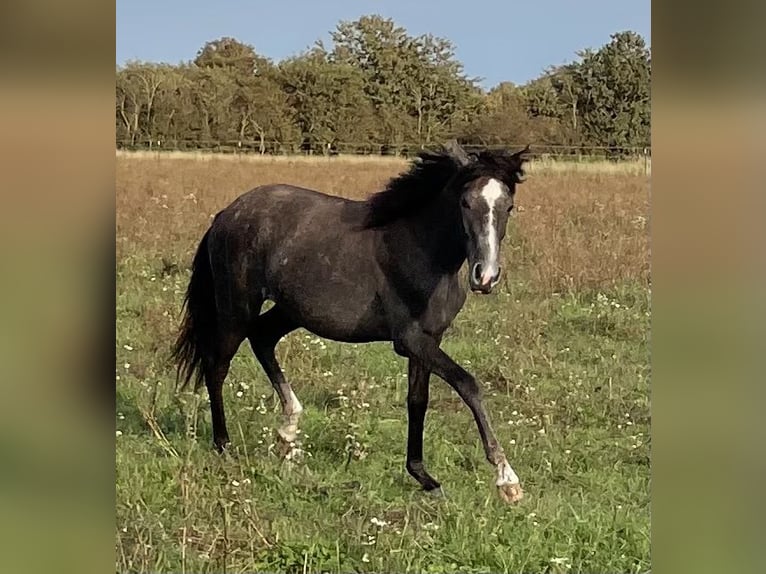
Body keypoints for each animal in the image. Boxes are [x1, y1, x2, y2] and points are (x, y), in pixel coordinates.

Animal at [174, 142, 536, 506]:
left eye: (508, 206)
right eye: (465, 202)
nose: (485, 277)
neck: (421, 251)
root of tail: (227, 213)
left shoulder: (430, 339)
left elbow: (417, 401)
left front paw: (423, 477)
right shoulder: (410, 339)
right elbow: (468, 384)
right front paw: (507, 480)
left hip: (291, 310)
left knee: (261, 338)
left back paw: (288, 432)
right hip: (237, 307)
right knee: (217, 366)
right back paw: (224, 445)